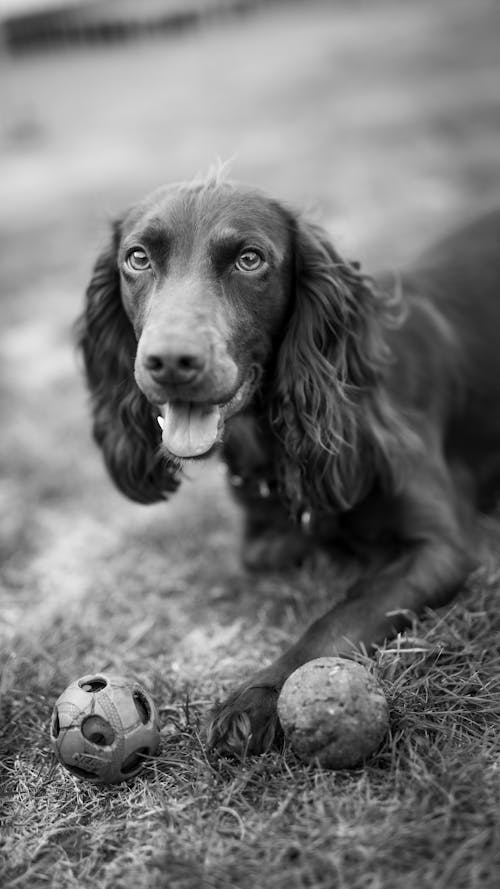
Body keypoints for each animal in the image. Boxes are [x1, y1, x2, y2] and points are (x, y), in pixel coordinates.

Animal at [76, 173, 500, 756]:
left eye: (249, 259)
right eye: (137, 258)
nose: (171, 362)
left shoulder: (440, 549)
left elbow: (340, 615)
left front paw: (256, 697)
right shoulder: (261, 535)